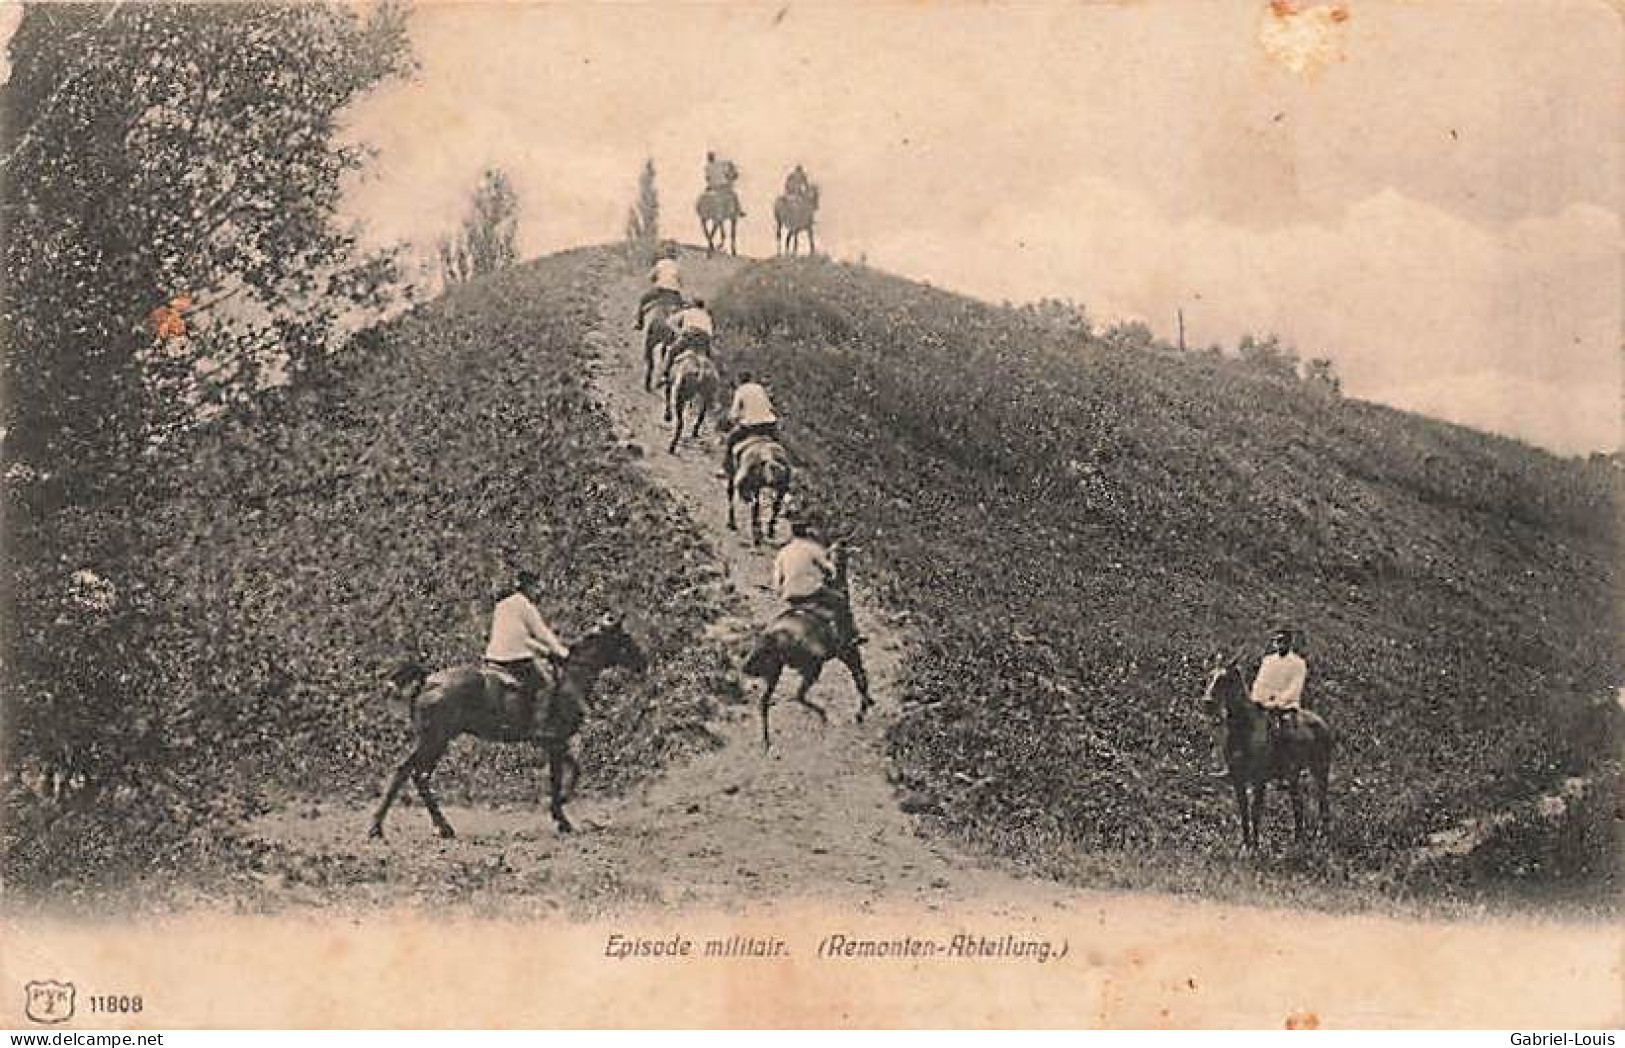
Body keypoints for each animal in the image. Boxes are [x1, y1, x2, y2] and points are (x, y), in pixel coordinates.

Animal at [370, 617, 646, 838]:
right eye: (625, 638)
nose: (644, 663)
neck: (569, 679)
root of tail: (426, 682)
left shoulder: (555, 743)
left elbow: (571, 770)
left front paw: (561, 809)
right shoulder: (554, 741)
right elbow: (562, 776)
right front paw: (561, 814)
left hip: (429, 740)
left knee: (403, 771)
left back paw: (377, 827)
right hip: (436, 740)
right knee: (420, 776)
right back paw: (442, 827)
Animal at [741, 542, 871, 747]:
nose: (839, 545)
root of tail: (771, 637)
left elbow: (861, 679)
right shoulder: (849, 651)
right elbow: (861, 679)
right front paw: (861, 712)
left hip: (775, 672)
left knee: (765, 702)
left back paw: (767, 741)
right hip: (813, 667)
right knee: (798, 695)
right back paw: (824, 715)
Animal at [1202, 653, 1326, 851]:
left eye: (1224, 679)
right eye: (1209, 677)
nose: (1207, 703)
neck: (1244, 729)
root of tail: (1321, 722)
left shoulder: (1258, 780)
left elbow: (1255, 812)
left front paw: (1255, 847)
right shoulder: (1238, 780)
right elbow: (1244, 812)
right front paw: (1245, 845)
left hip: (1320, 772)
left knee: (1323, 804)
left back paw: (1321, 836)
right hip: (1293, 775)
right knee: (1297, 804)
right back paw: (1298, 840)